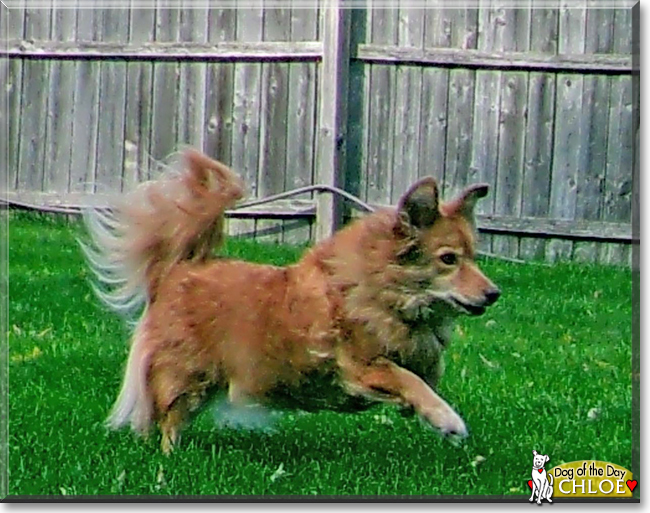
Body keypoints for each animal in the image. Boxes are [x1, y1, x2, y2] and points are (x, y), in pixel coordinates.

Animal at [79, 148, 496, 452]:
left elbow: (426, 373)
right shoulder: (361, 367)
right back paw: (171, 460)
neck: (385, 293)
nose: (494, 293)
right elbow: (408, 379)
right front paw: (446, 418)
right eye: (448, 259)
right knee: (168, 419)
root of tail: (179, 268)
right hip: (187, 377)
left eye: (473, 257)